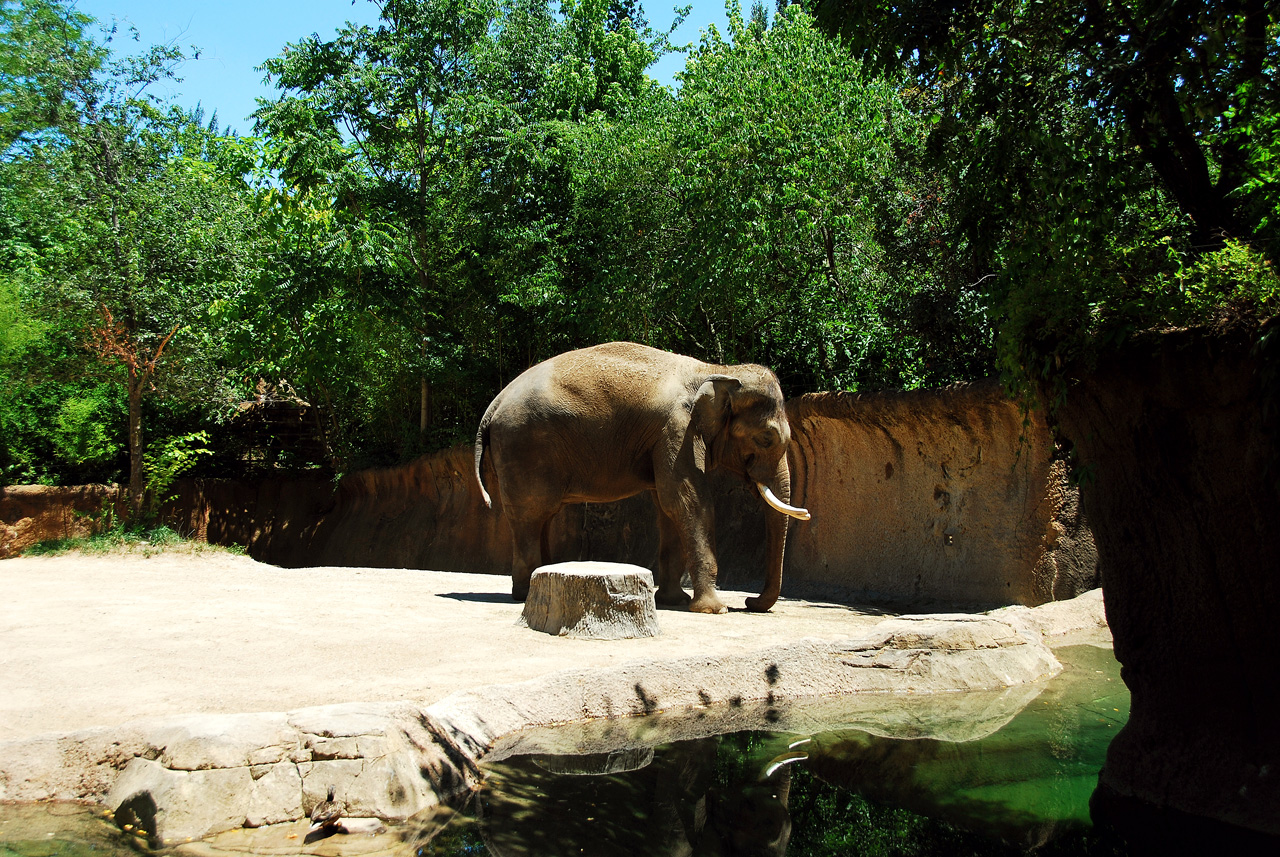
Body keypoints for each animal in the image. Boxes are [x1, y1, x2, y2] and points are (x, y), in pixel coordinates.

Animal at [476, 340, 803, 613]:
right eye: (766, 439)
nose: (749, 602)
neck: (717, 371)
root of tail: (493, 405)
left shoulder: (668, 438)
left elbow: (669, 506)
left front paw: (674, 601)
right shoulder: (678, 429)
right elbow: (686, 500)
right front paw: (714, 610)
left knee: (543, 515)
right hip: (523, 445)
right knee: (531, 514)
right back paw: (524, 593)